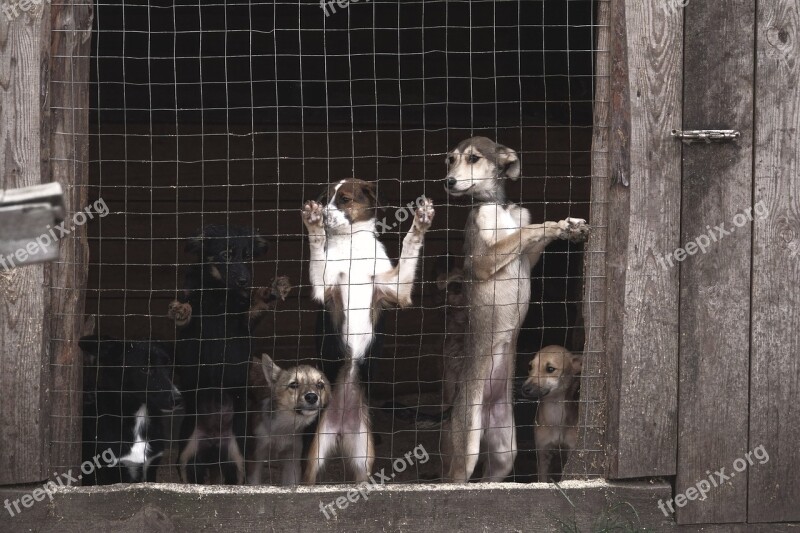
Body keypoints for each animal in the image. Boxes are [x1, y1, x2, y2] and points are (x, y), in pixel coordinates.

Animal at [173, 224, 268, 482]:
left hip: (235, 459)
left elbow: (252, 311)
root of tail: (214, 441)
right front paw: (181, 312)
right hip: (188, 456)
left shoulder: (242, 324)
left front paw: (262, 299)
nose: (245, 280)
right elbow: (186, 319)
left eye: (247, 255)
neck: (218, 293)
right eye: (226, 255)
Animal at [247, 356, 328, 484]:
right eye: (293, 385)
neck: (283, 428)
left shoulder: (292, 461)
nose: (312, 397)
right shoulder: (255, 459)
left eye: (320, 385)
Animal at [520, 344, 580, 482]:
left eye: (550, 369)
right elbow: (542, 479)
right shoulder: (543, 452)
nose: (524, 389)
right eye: (530, 367)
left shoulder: (570, 450)